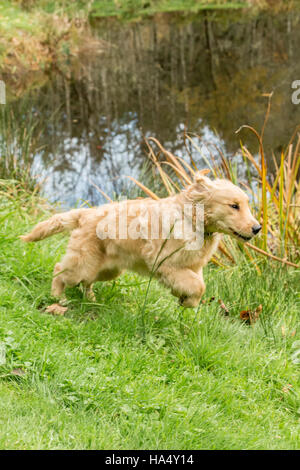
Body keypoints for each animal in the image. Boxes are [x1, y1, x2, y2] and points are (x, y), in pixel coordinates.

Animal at [20, 173, 260, 308]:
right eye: (234, 206)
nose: (257, 228)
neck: (192, 218)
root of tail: (85, 214)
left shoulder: (192, 266)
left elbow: (198, 284)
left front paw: (185, 300)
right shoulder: (165, 264)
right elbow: (198, 286)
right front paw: (186, 299)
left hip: (107, 269)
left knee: (86, 282)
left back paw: (90, 299)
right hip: (82, 263)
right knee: (60, 270)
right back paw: (57, 298)